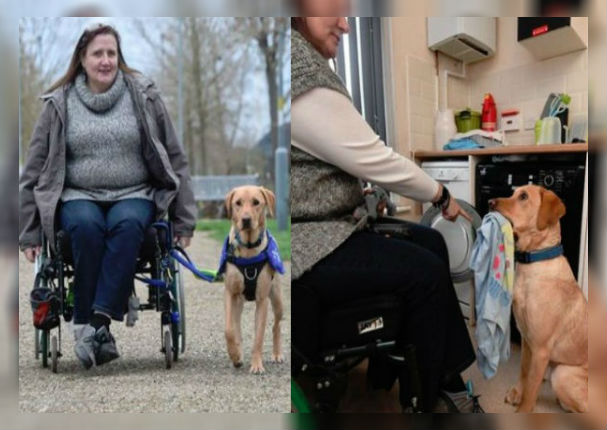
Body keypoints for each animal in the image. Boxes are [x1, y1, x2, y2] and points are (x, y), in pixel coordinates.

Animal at [218, 185, 284, 372]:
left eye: (256, 202)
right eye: (238, 203)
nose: (246, 220)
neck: (248, 248)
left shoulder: (262, 300)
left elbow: (259, 336)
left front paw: (256, 365)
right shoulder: (229, 294)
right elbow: (229, 330)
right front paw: (235, 355)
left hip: (277, 299)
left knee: (276, 326)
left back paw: (277, 354)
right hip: (238, 302)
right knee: (237, 327)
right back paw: (238, 352)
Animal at [492, 186, 588, 414]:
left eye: (523, 197)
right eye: (513, 193)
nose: (490, 202)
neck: (532, 262)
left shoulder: (541, 349)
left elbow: (532, 388)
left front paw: (523, 411)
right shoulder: (527, 339)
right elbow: (524, 371)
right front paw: (517, 393)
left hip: (562, 374)